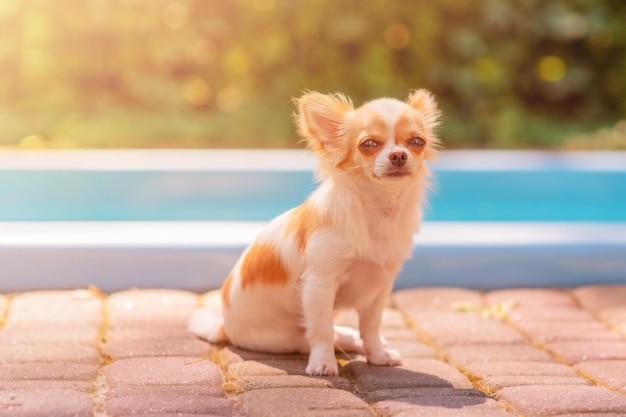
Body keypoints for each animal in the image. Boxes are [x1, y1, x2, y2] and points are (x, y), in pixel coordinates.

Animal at [189, 89, 438, 376]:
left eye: (417, 141)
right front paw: (324, 363)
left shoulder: (380, 286)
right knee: (309, 336)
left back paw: (352, 338)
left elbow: (371, 326)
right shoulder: (320, 284)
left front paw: (377, 355)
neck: (377, 211)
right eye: (368, 144)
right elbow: (321, 331)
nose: (398, 155)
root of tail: (224, 327)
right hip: (282, 337)